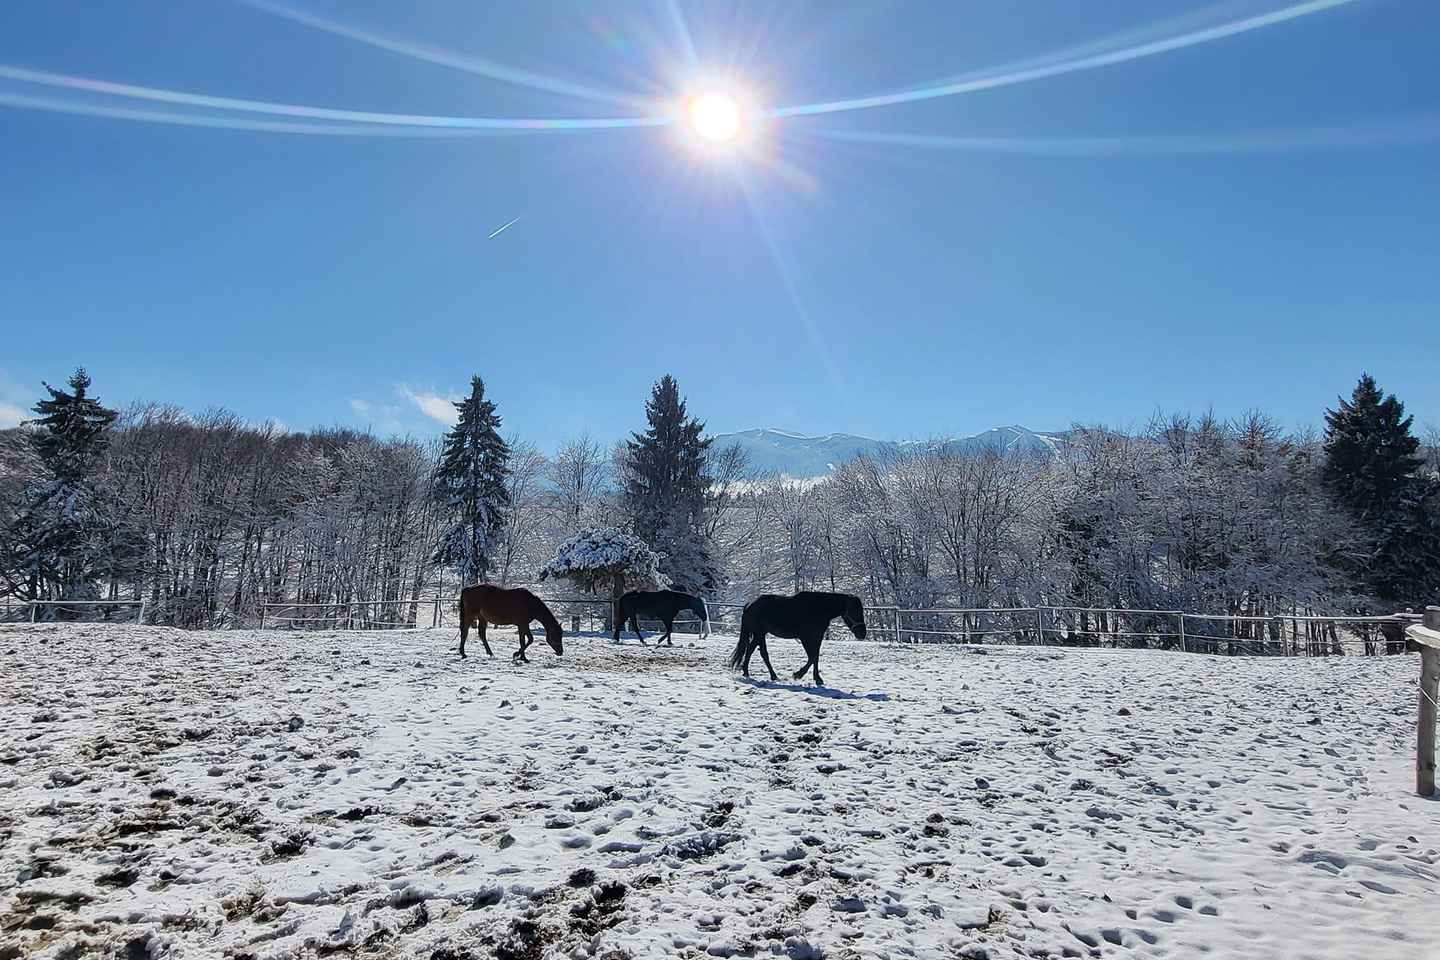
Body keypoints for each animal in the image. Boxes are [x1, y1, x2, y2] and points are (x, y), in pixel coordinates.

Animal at [728, 591, 866, 687]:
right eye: (854, 610)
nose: (862, 634)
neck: (819, 608)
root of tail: (749, 605)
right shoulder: (806, 638)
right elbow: (812, 657)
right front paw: (798, 675)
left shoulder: (817, 637)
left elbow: (815, 657)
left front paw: (817, 678)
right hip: (759, 634)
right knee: (757, 652)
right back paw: (758, 674)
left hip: (760, 635)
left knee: (756, 651)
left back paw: (759, 674)